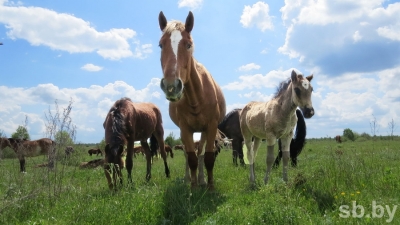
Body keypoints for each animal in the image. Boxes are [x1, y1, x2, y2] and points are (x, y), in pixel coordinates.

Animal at [159, 11, 228, 190]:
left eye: (188, 44)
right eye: (161, 45)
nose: (171, 86)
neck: (196, 97)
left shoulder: (211, 127)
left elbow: (207, 157)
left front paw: (209, 186)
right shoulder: (185, 129)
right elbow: (191, 159)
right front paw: (193, 187)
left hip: (203, 132)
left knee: (201, 154)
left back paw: (202, 179)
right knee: (188, 155)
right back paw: (188, 179)